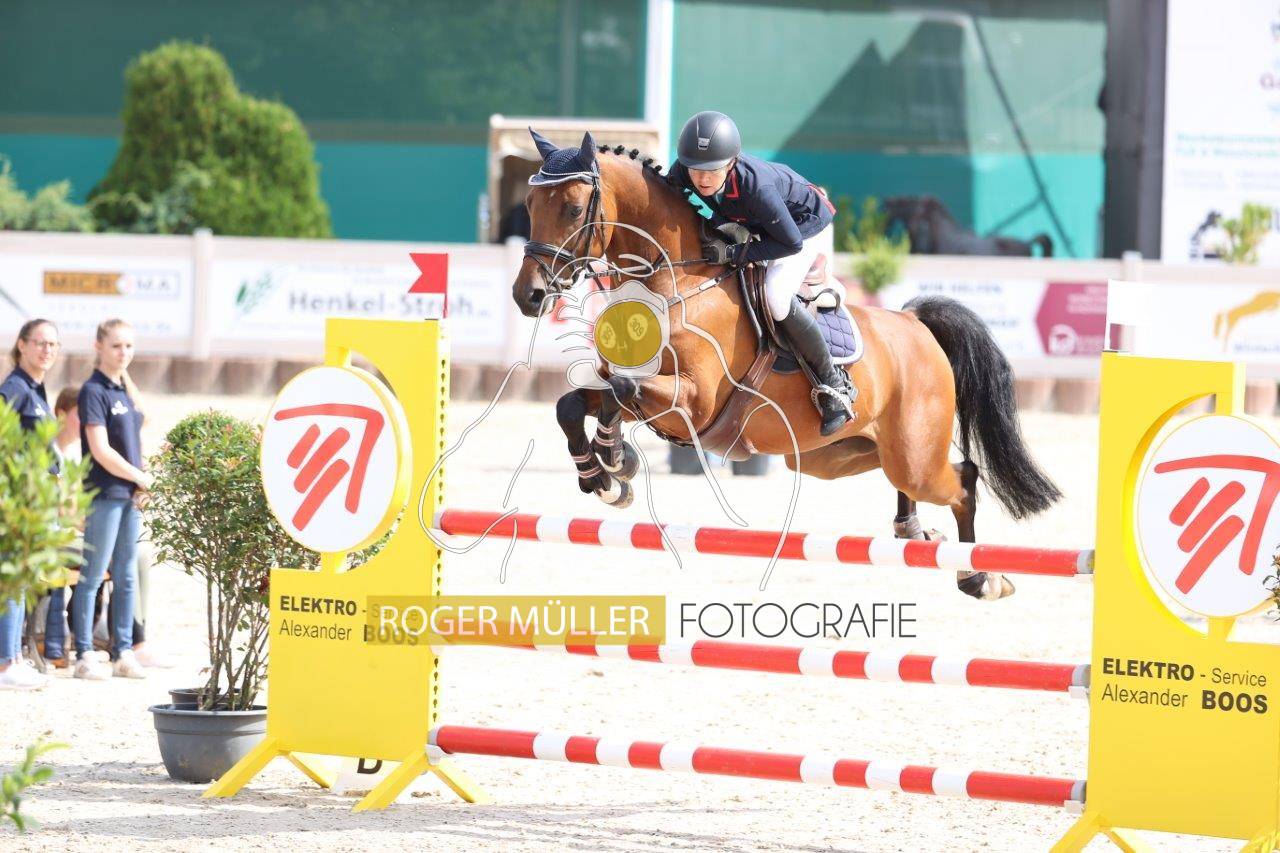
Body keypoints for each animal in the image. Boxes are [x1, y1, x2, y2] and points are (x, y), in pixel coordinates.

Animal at [511, 133, 1061, 600]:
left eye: (574, 208)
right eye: (531, 207)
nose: (527, 296)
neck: (674, 283)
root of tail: (913, 323)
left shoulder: (694, 401)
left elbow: (623, 391)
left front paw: (615, 460)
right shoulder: (638, 390)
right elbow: (574, 402)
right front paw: (603, 475)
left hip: (912, 453)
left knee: (963, 480)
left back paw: (979, 577)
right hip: (836, 457)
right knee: (915, 480)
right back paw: (914, 529)